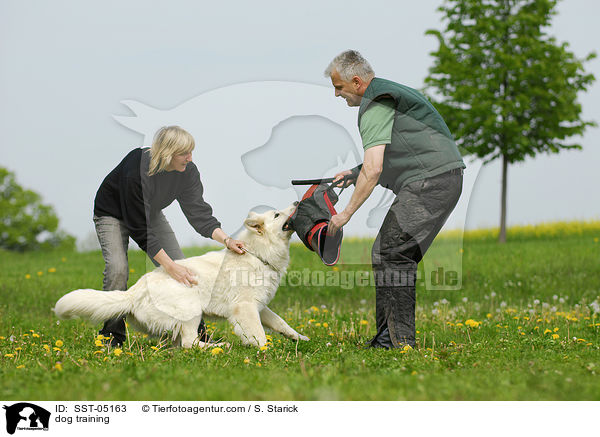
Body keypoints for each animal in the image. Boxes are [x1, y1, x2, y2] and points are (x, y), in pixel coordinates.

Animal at [53, 204, 308, 348]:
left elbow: (280, 322)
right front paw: (265, 351)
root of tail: (134, 292)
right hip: (191, 309)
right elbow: (259, 334)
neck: (258, 253)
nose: (297, 202)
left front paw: (298, 338)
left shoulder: (259, 307)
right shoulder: (244, 308)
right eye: (277, 214)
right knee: (188, 343)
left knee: (179, 344)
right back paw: (219, 347)